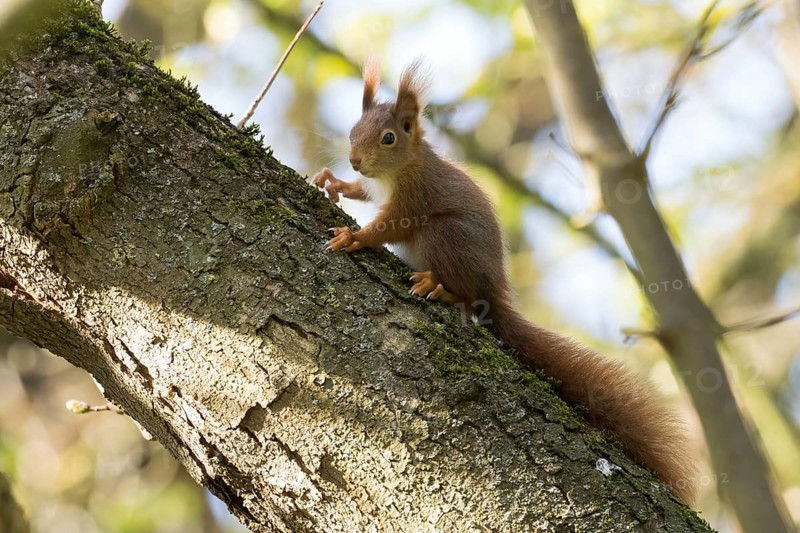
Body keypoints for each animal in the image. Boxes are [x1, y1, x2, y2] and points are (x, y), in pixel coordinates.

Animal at [312, 59, 696, 504]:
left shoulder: (413, 198)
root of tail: (495, 292)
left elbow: (387, 227)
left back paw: (441, 289)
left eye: (389, 137)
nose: (355, 160)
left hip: (445, 237)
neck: (399, 170)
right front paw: (334, 181)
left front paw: (354, 237)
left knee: (467, 295)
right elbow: (361, 193)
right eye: (353, 130)